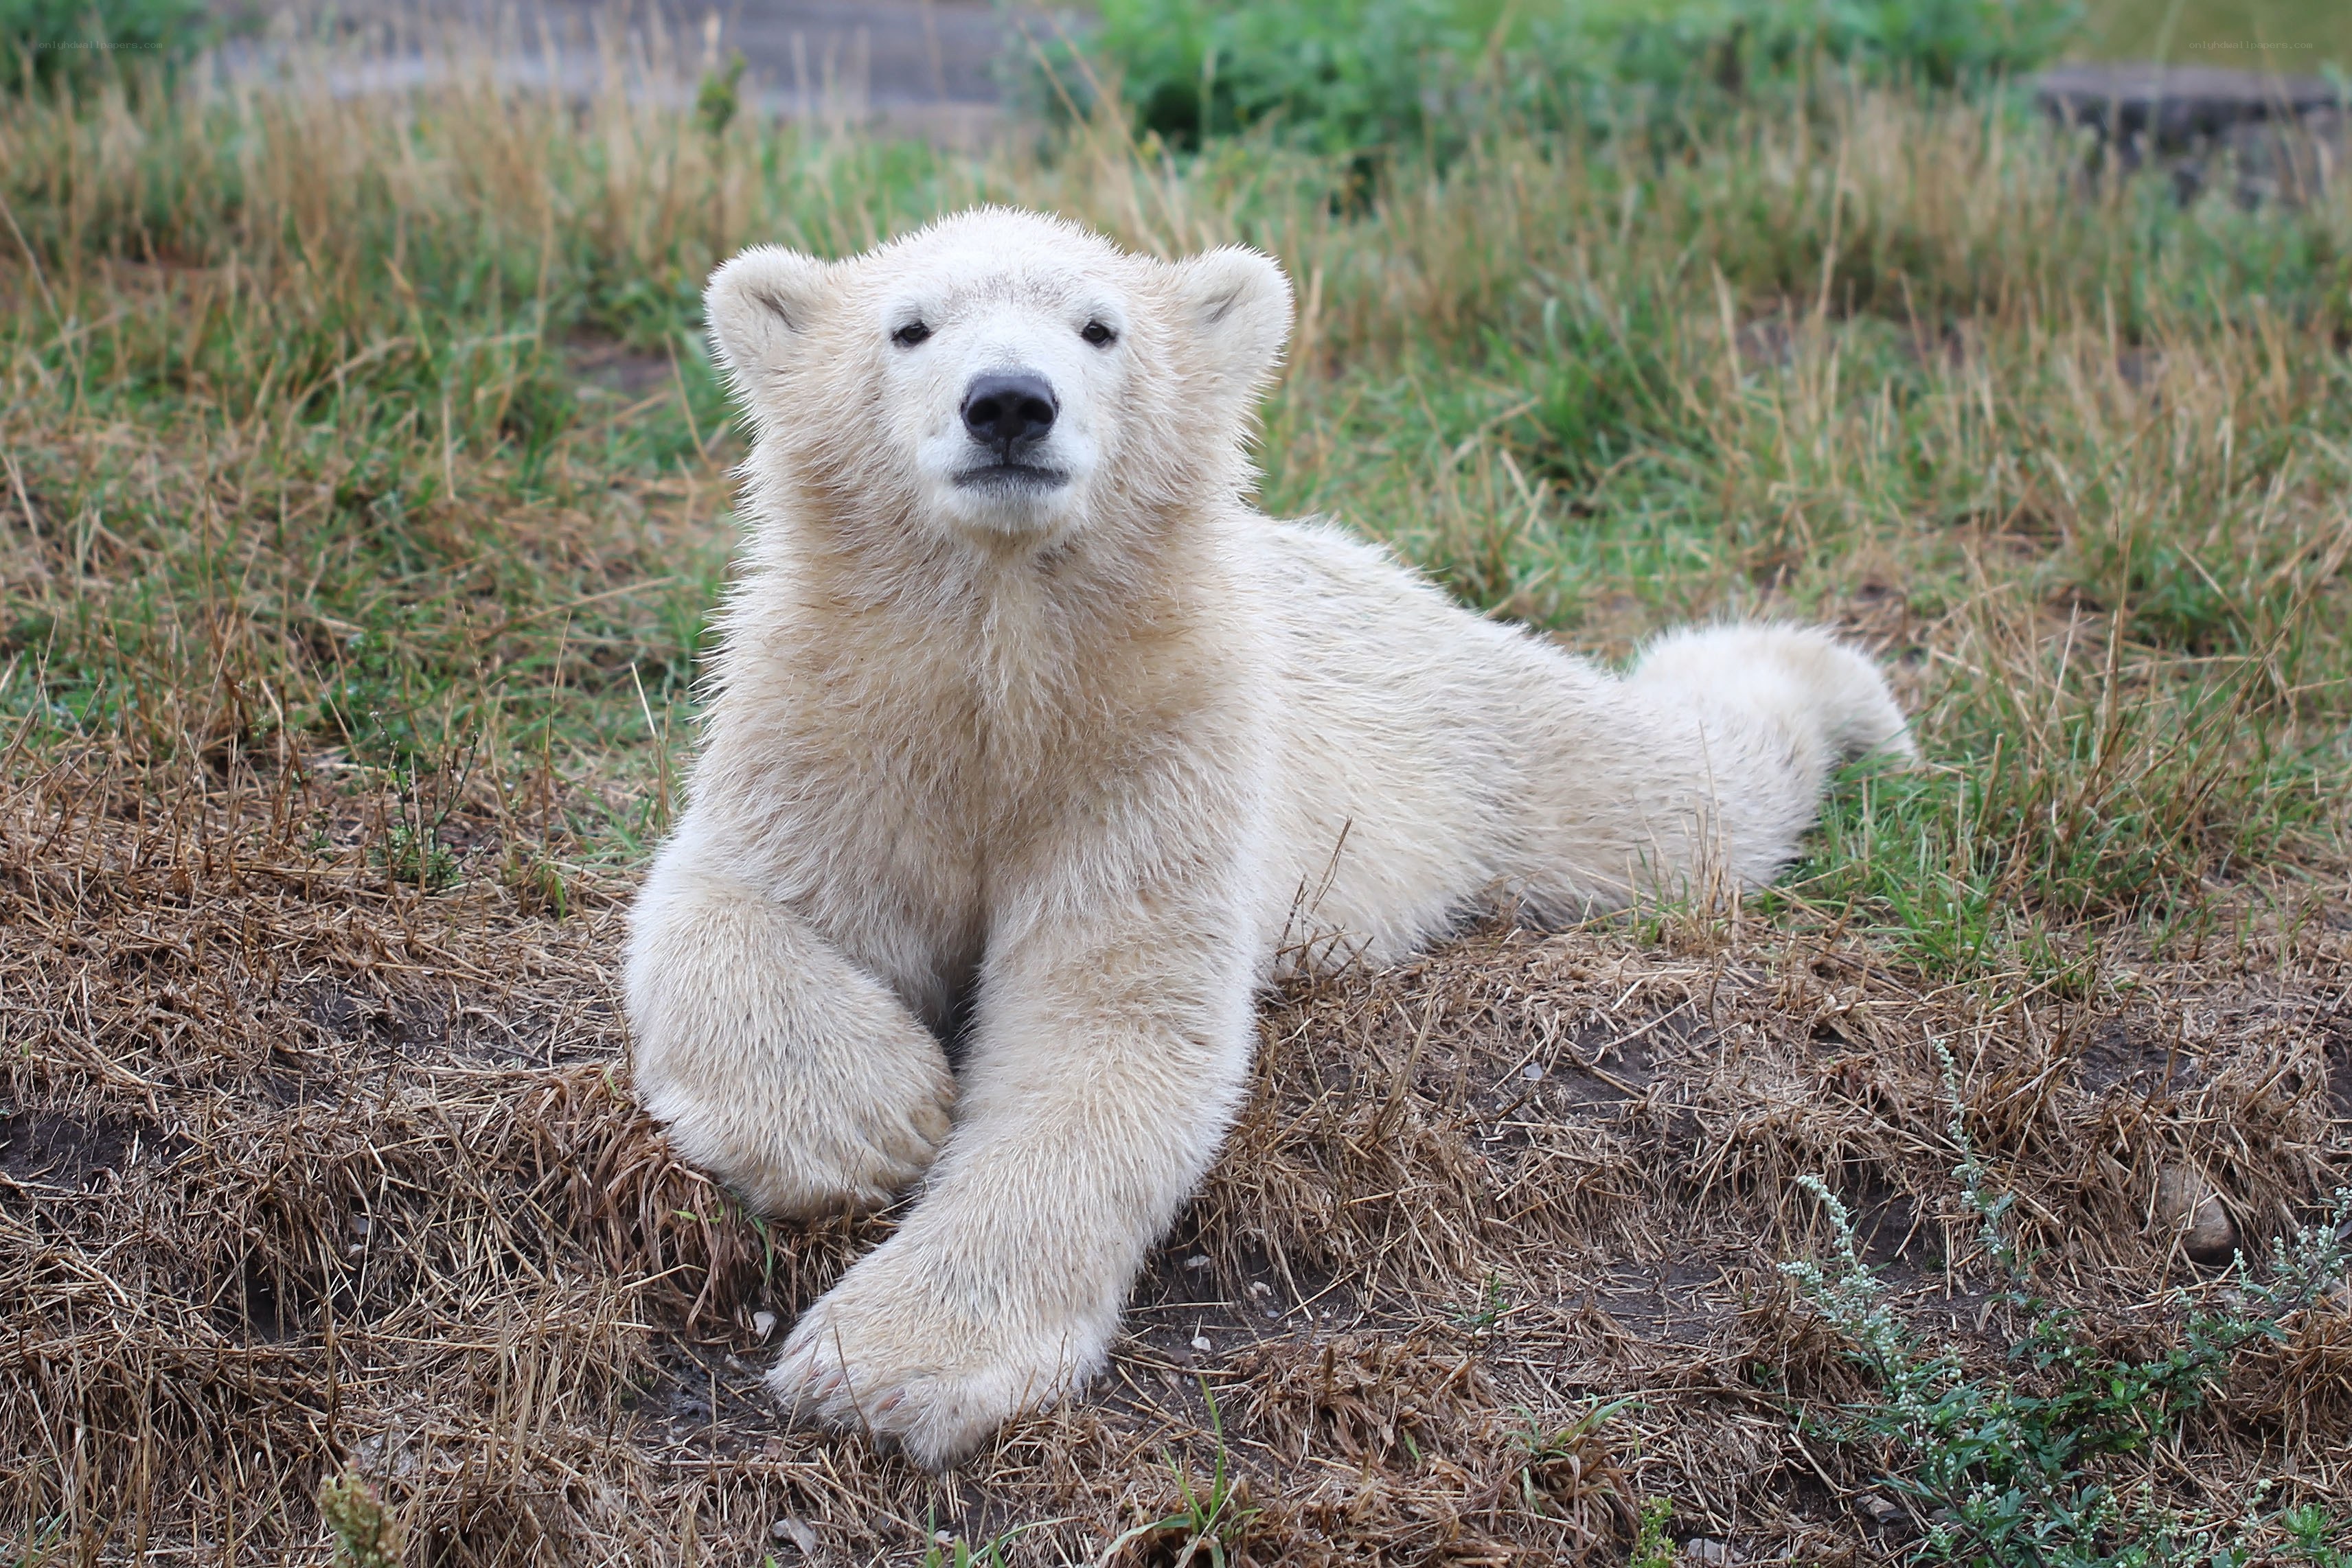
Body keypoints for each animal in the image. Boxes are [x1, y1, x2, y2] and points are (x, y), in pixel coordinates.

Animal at [624, 206, 1913, 1471]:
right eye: (909, 326)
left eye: (1099, 327)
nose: (1009, 403)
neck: (1006, 662)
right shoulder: (834, 723)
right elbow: (724, 897)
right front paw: (868, 1116)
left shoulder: (1163, 753)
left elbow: (1112, 1026)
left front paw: (891, 1364)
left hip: (1471, 738)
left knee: (1685, 799)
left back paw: (1839, 687)